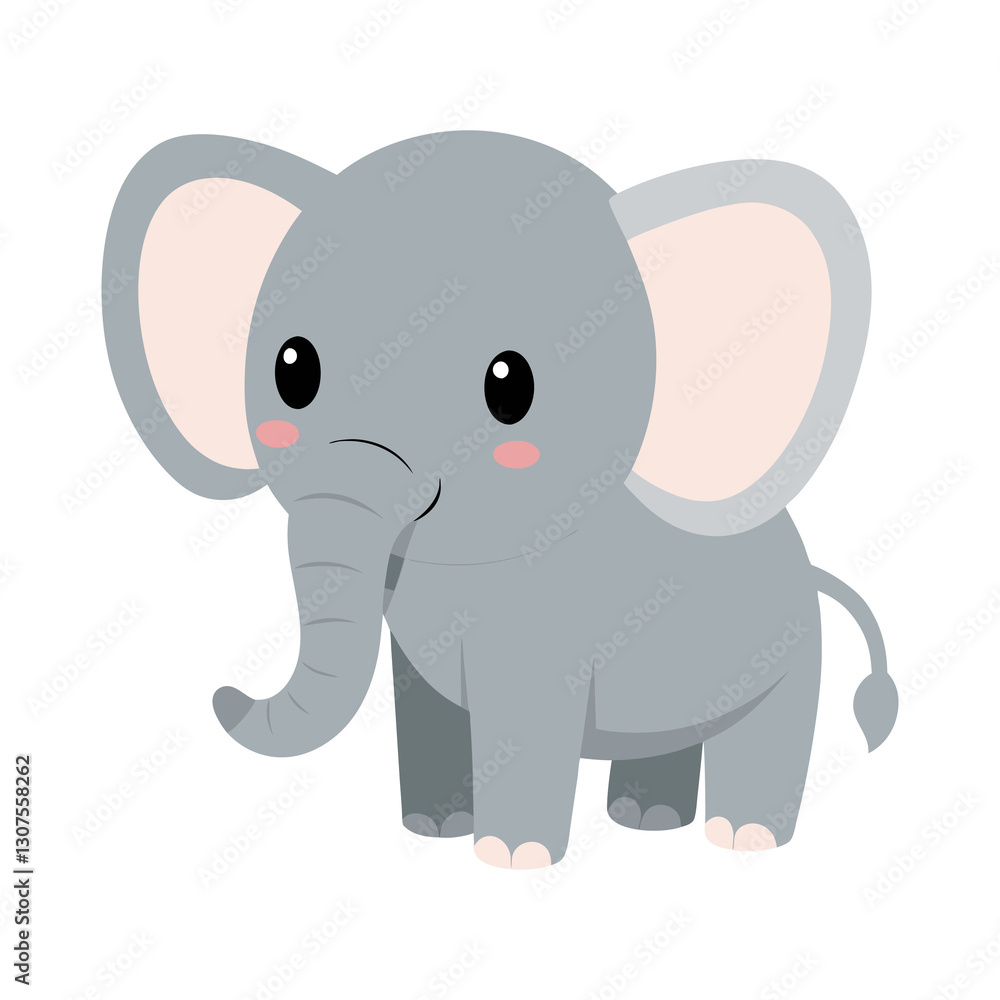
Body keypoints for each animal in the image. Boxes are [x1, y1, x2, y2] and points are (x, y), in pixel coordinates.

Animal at [102, 130, 898, 868]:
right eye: (291, 370)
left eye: (510, 387)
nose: (223, 696)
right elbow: (422, 703)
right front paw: (433, 830)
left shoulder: (549, 628)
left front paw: (512, 857)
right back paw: (645, 820)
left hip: (792, 650)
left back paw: (744, 838)